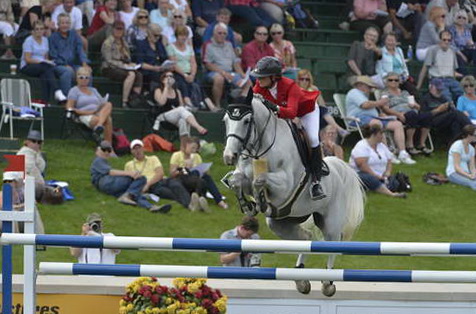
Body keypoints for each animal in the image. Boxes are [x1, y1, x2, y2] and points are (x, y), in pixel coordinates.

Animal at [222, 94, 364, 296]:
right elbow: (237, 181)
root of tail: (337, 169)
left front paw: (261, 201)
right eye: (225, 120)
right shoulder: (244, 175)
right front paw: (248, 205)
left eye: (247, 121)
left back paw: (328, 283)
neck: (261, 146)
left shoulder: (285, 184)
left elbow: (260, 180)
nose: (229, 156)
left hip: (330, 221)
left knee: (333, 244)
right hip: (282, 222)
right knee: (305, 238)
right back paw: (301, 279)